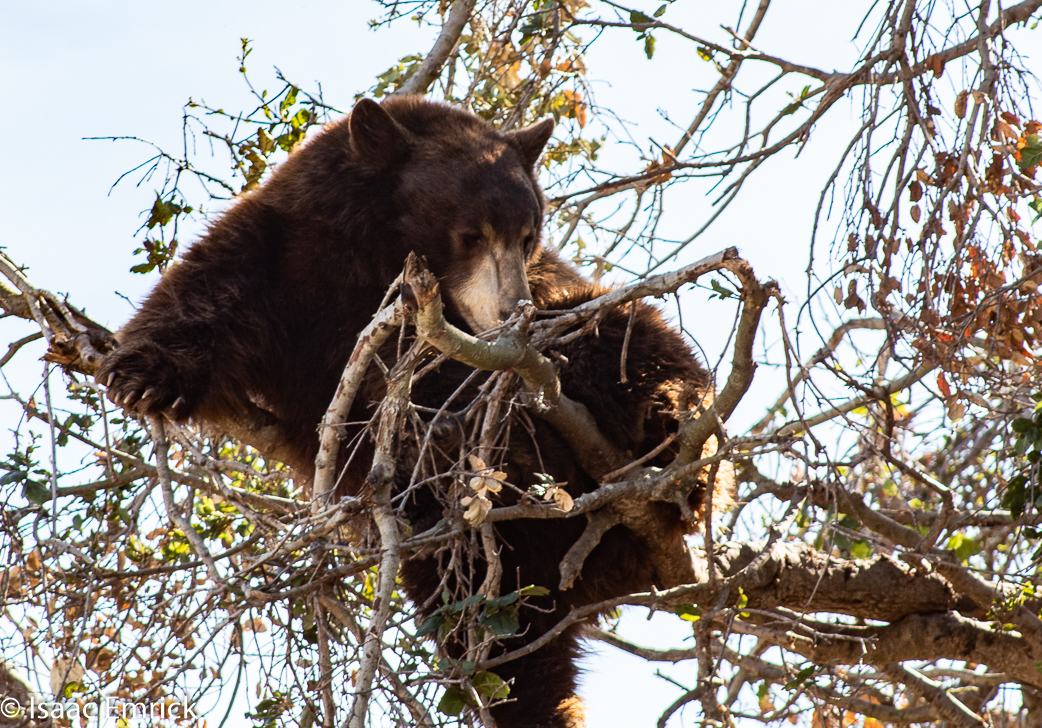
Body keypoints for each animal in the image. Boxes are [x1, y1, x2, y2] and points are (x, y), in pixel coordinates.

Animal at [97, 96, 712, 728]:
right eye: (471, 234)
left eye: (528, 236)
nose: (512, 308)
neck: (377, 257)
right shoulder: (288, 261)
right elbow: (208, 290)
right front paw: (139, 374)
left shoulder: (525, 292)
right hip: (469, 564)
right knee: (496, 640)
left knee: (628, 334)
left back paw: (672, 442)